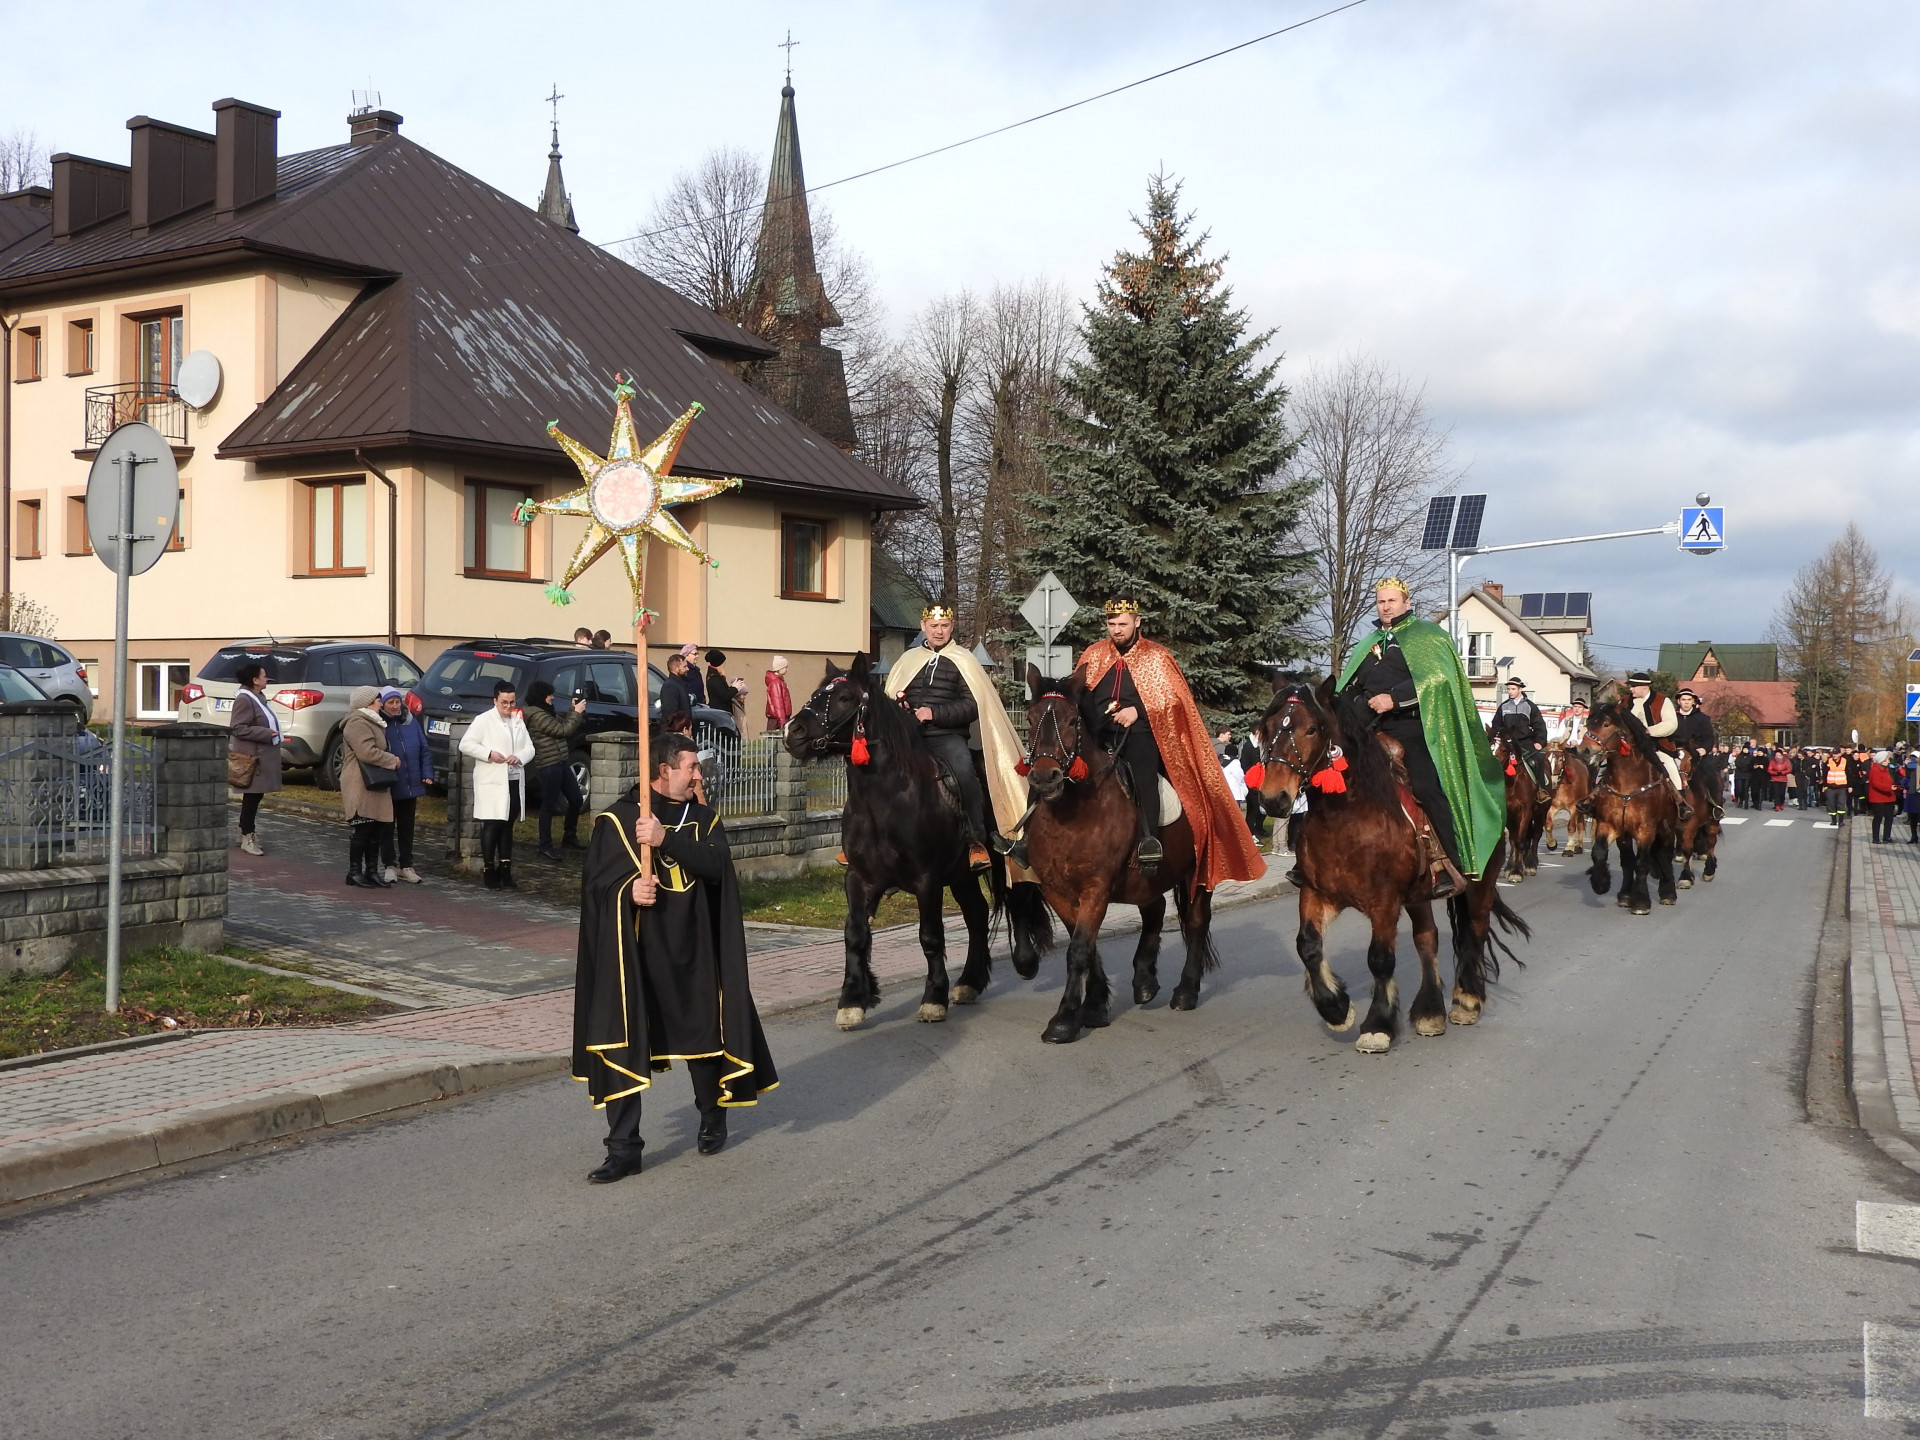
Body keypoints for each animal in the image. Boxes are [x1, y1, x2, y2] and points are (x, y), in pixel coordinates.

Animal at [779, 660, 1052, 1029]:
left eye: (845, 697)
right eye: (816, 693)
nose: (792, 732)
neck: (886, 801)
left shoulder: (927, 880)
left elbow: (930, 936)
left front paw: (933, 998)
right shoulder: (858, 879)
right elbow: (855, 934)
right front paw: (852, 1001)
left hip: (1005, 856)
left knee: (1018, 898)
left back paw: (1023, 962)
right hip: (962, 875)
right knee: (977, 914)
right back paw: (969, 982)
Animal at [1021, 664, 1213, 1052]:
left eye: (1071, 721)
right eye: (1031, 719)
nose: (1045, 777)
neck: (1072, 813)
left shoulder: (1096, 888)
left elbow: (1079, 949)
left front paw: (1064, 1019)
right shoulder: (1056, 890)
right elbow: (1087, 945)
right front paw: (1094, 1006)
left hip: (1195, 871)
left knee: (1197, 921)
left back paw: (1185, 991)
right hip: (1148, 877)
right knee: (1155, 911)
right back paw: (1144, 979)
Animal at [1259, 683, 1528, 1052]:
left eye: (1311, 729)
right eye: (1268, 728)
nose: (1273, 799)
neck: (1345, 818)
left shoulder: (1384, 902)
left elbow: (1380, 958)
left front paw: (1378, 1024)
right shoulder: (1316, 893)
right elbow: (1308, 946)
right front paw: (1335, 1008)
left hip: (1480, 884)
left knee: (1476, 929)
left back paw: (1467, 1000)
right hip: (1418, 896)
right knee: (1427, 938)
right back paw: (1430, 1011)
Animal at [1574, 706, 1681, 917]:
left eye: (1606, 724)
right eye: (1588, 724)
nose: (1584, 750)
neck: (1627, 783)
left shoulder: (1646, 829)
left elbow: (1642, 863)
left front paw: (1641, 902)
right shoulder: (1609, 824)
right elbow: (1600, 853)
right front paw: (1601, 883)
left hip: (1666, 830)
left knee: (1664, 855)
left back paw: (1668, 892)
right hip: (1625, 835)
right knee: (1627, 860)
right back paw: (1625, 894)